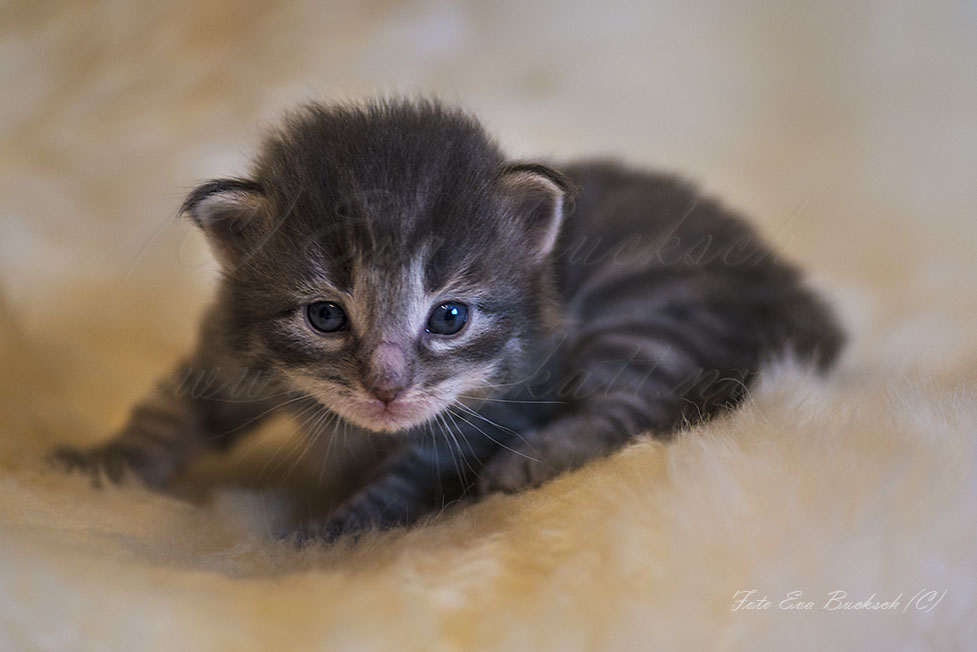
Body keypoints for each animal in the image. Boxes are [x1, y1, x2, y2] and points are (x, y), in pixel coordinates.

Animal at [53, 98, 844, 540]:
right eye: (324, 316)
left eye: (450, 317)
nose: (387, 387)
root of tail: (780, 275)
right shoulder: (228, 351)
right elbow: (170, 410)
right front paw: (102, 464)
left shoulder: (483, 413)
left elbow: (406, 479)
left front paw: (331, 531)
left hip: (646, 305)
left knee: (643, 405)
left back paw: (537, 458)